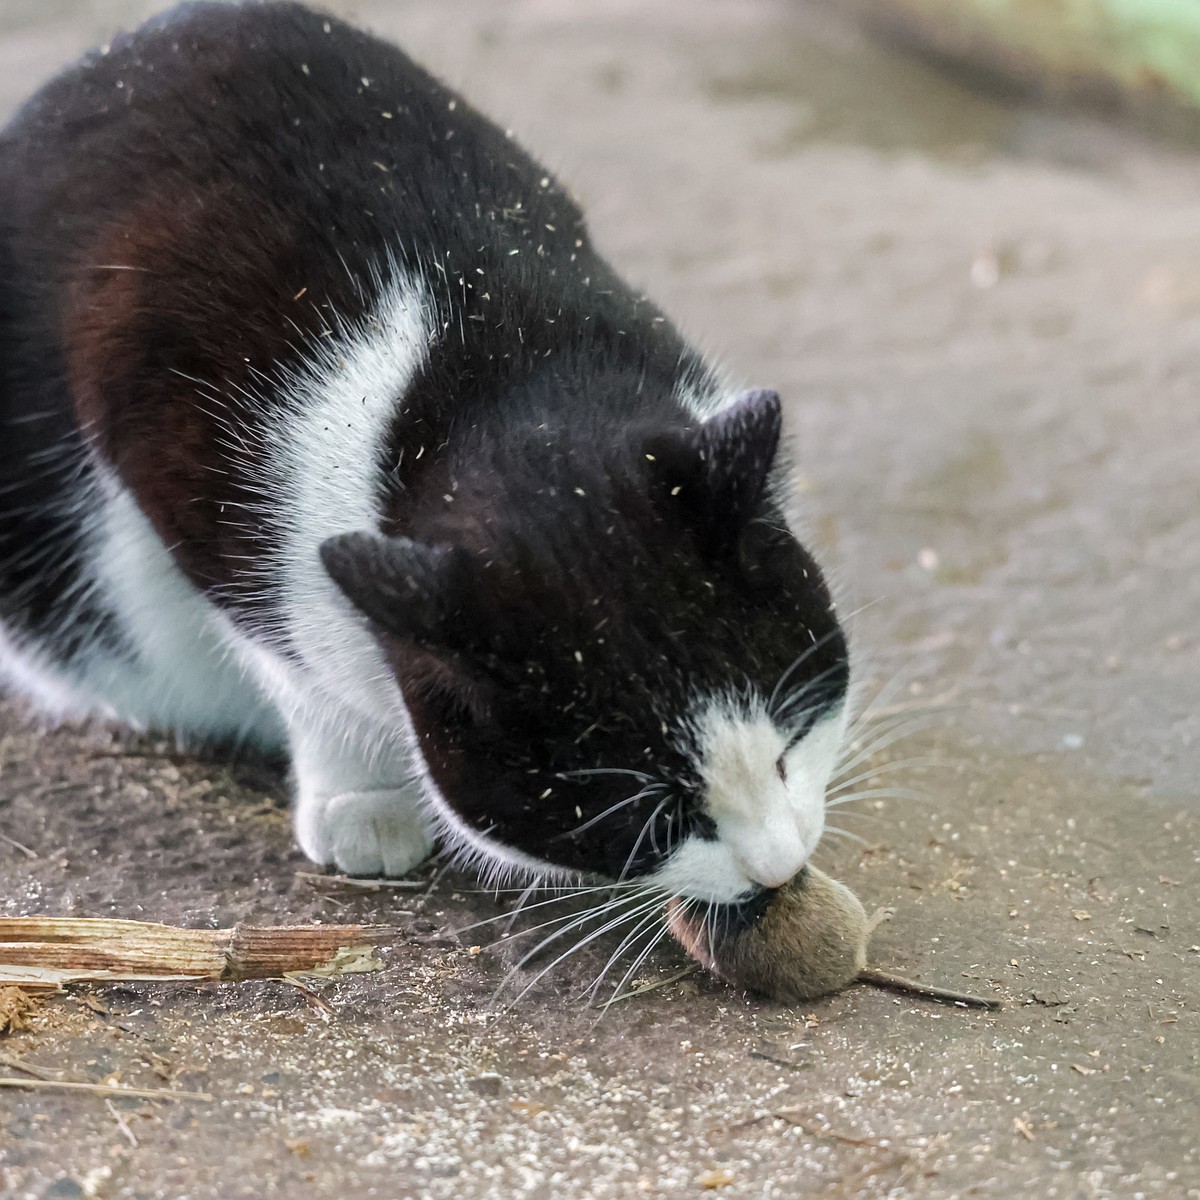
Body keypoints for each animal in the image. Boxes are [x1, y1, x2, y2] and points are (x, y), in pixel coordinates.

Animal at [0, 4, 849, 912]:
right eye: (651, 816)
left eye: (790, 741)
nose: (779, 865)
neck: (494, 387)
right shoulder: (179, 452)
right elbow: (290, 660)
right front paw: (362, 798)